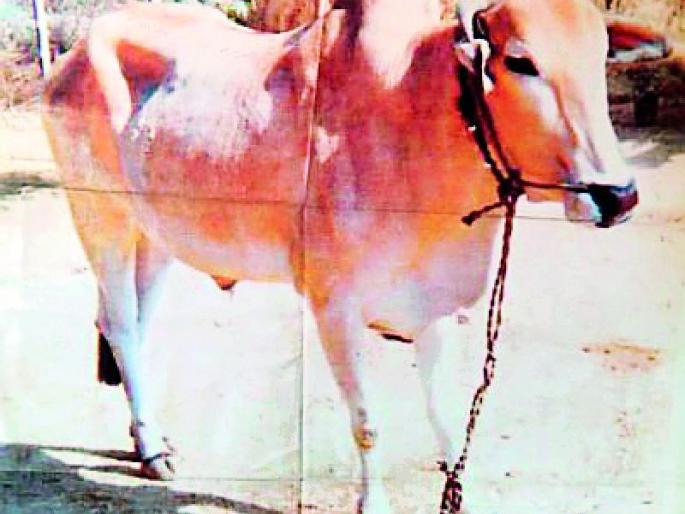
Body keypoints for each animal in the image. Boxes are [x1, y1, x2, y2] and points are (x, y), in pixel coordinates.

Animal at [42, 0, 638, 511]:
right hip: (100, 216)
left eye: (600, 54)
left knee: (133, 326)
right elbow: (368, 424)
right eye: (519, 61)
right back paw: (151, 448)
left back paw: (149, 434)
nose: (619, 195)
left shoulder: (432, 308)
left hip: (157, 234)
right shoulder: (336, 310)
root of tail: (73, 56)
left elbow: (445, 417)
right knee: (120, 324)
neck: (416, 121)